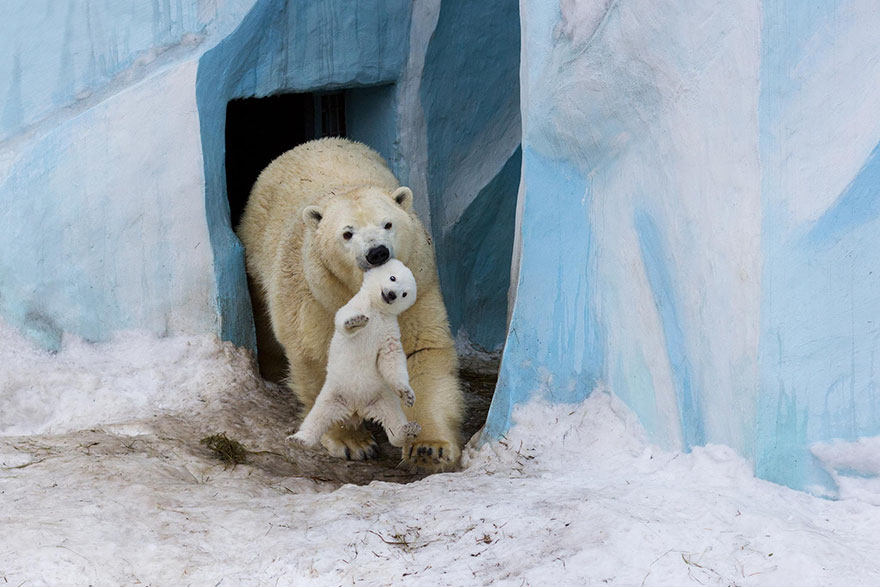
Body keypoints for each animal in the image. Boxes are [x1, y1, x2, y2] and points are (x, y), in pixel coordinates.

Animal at [290, 259, 422, 449]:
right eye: (392, 277)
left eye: (404, 294)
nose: (391, 295)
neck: (377, 310)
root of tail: (357, 408)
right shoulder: (356, 305)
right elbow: (343, 319)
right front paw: (355, 321)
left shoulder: (388, 330)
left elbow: (391, 357)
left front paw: (408, 395)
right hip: (334, 394)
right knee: (317, 416)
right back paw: (299, 439)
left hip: (381, 398)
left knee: (393, 419)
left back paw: (407, 431)